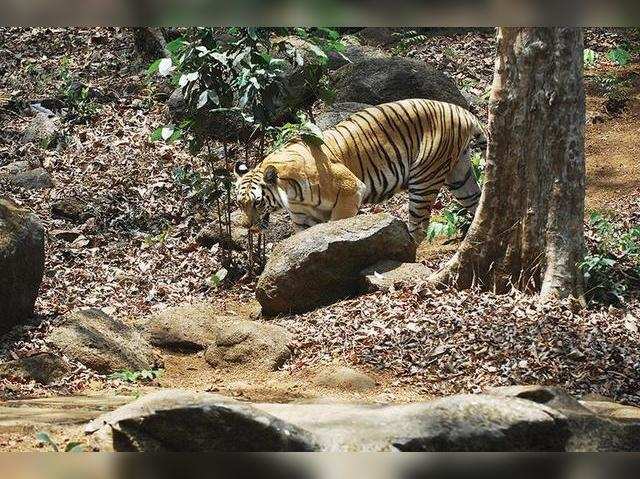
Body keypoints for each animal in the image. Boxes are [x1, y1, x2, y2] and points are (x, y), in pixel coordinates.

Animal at [235, 97, 484, 242]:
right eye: (239, 203)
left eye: (258, 202)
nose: (248, 227)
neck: (291, 195)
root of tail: (461, 111)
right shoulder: (303, 219)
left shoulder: (350, 190)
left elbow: (336, 225)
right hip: (460, 176)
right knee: (478, 200)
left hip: (424, 178)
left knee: (420, 224)